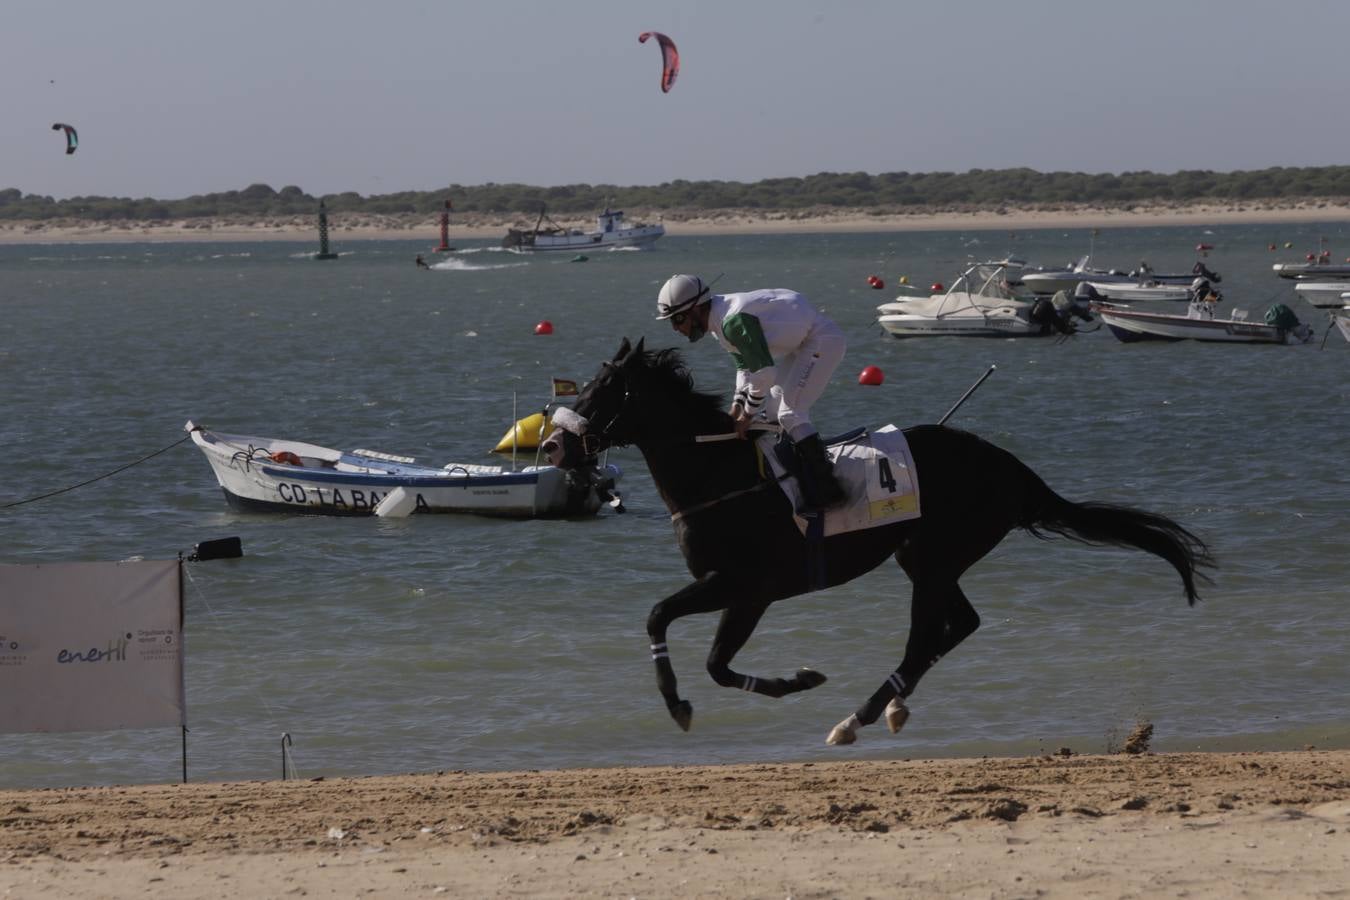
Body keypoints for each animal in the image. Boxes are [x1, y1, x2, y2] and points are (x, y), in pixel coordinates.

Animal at [540, 337, 1215, 744]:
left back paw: (857, 717)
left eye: (602, 390)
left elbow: (685, 638)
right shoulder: (736, 589)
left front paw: (700, 700)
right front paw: (782, 682)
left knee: (926, 636)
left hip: (934, 555)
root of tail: (1006, 464)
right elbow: (699, 651)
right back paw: (890, 705)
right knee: (960, 625)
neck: (722, 476)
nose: (552, 446)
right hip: (927, 559)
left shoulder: (746, 586)